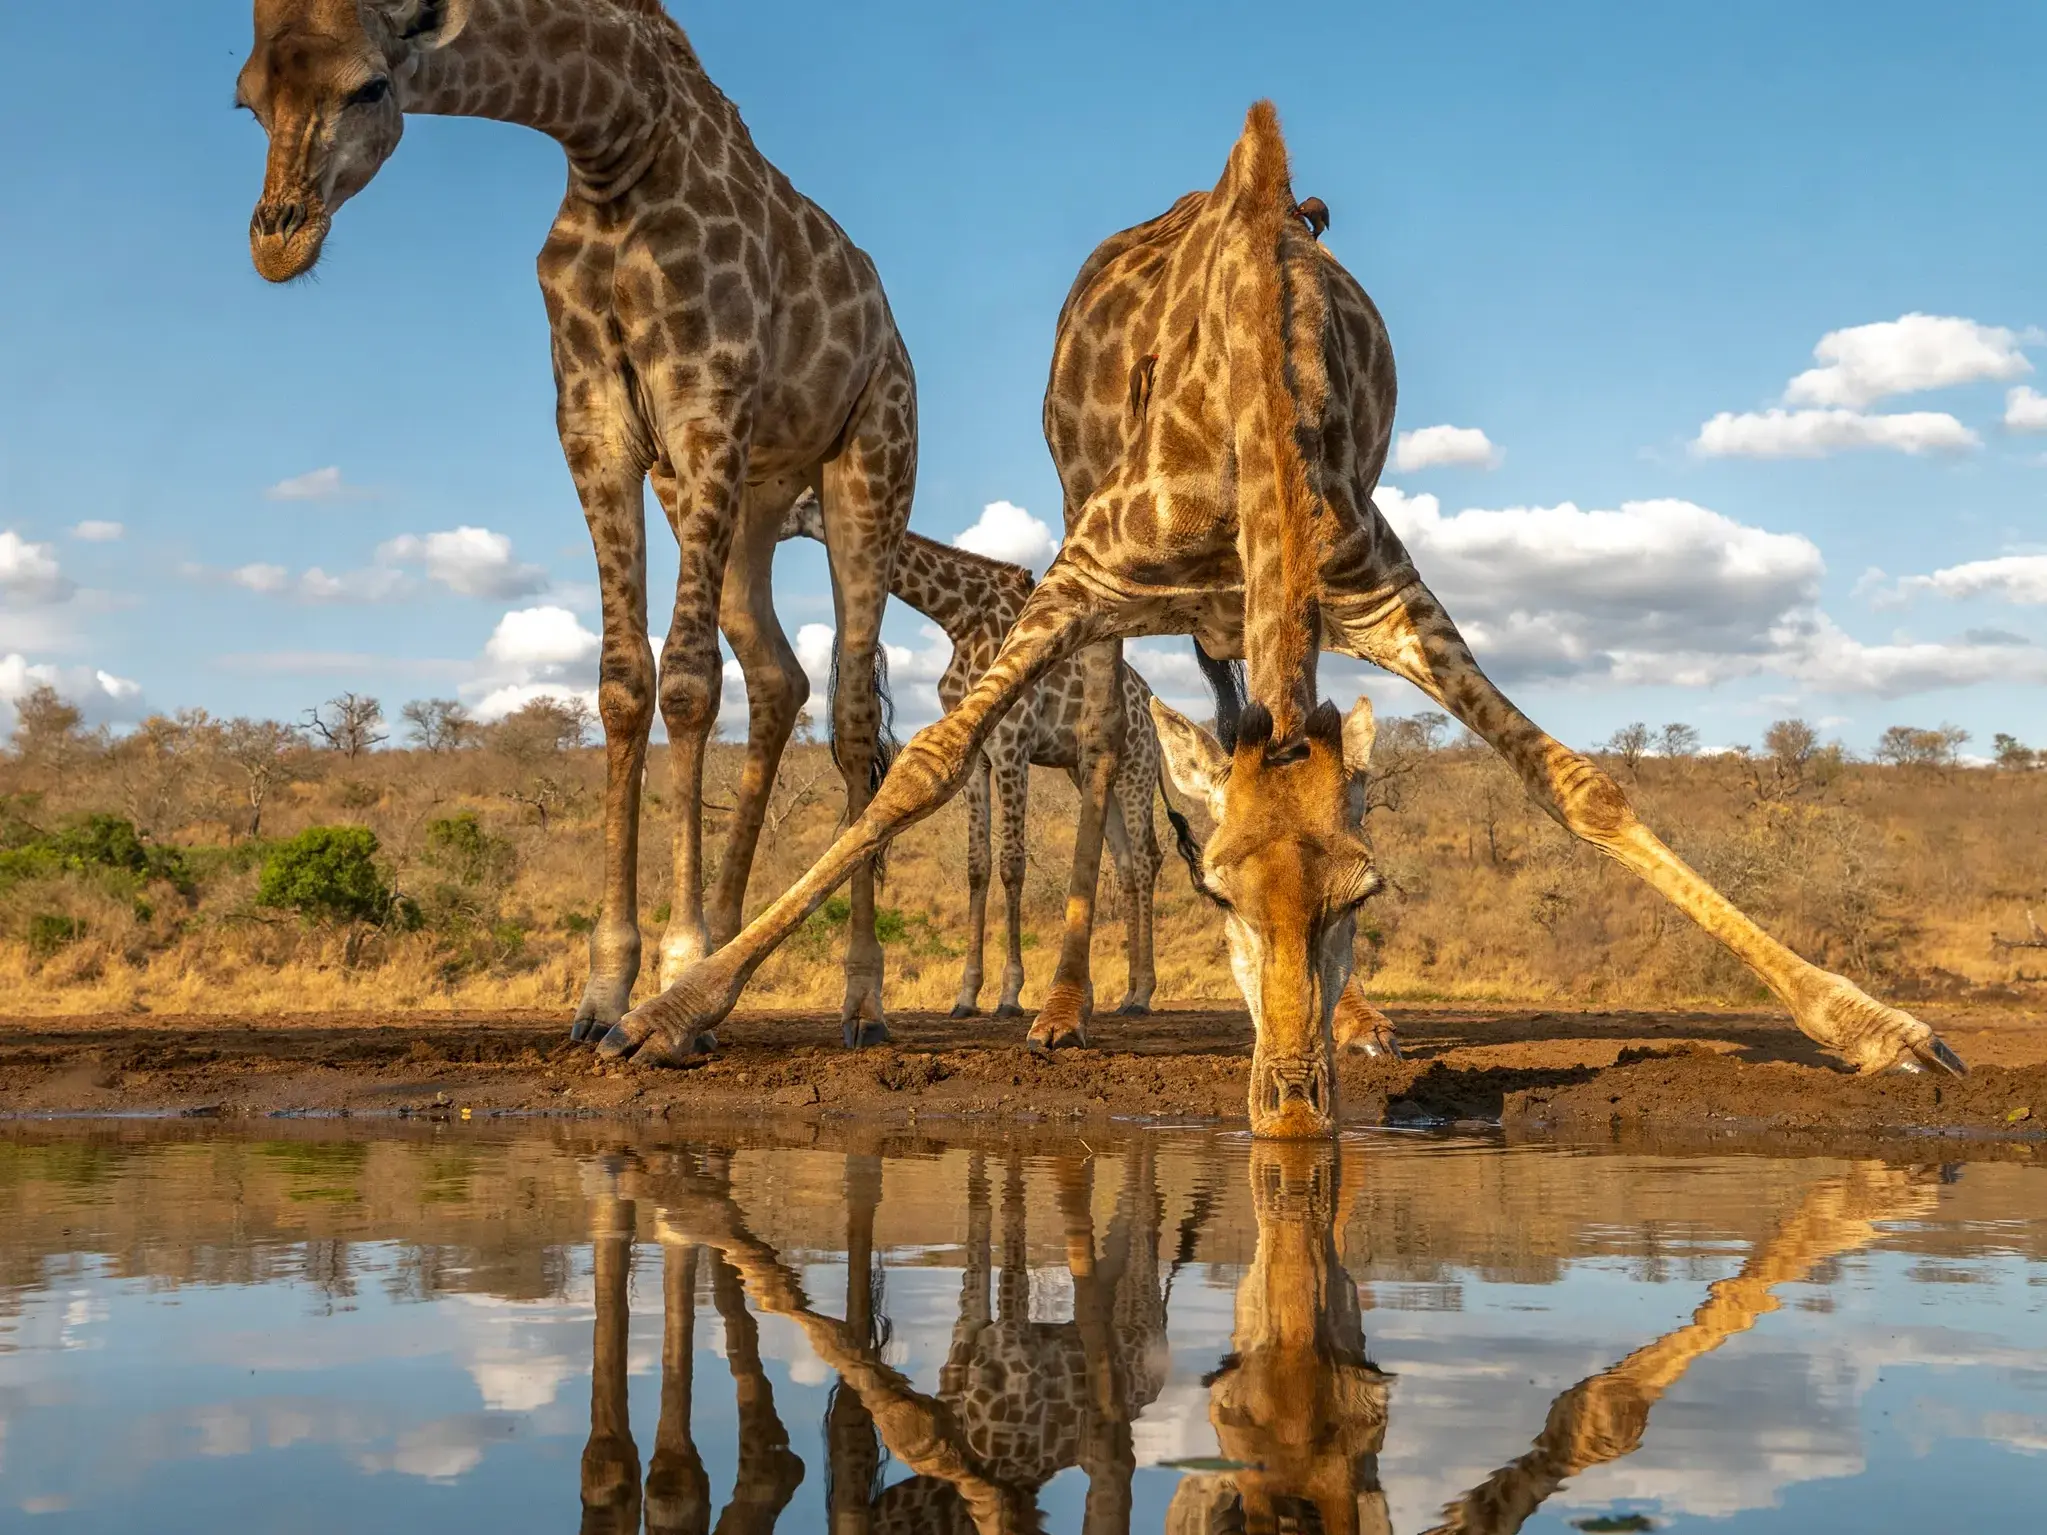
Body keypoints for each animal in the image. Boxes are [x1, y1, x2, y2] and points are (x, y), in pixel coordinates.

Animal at [235, 0, 917, 1048]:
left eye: (369, 86)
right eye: (247, 99)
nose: (279, 239)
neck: (613, 147)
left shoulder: (703, 404)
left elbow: (686, 685)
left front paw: (672, 963)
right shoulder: (595, 421)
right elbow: (622, 683)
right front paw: (610, 994)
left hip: (871, 463)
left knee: (847, 714)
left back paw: (859, 1001)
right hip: (747, 498)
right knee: (777, 675)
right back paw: (716, 984)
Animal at [781, 492, 1167, 1021]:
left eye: (802, 501)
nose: (768, 524)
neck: (959, 619)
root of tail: (1151, 709)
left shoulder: (1012, 746)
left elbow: (1012, 864)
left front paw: (1009, 994)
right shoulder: (979, 759)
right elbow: (977, 866)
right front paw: (966, 996)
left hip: (1136, 769)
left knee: (1148, 858)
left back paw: (1144, 993)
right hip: (1085, 772)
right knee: (1126, 864)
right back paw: (1121, 994)